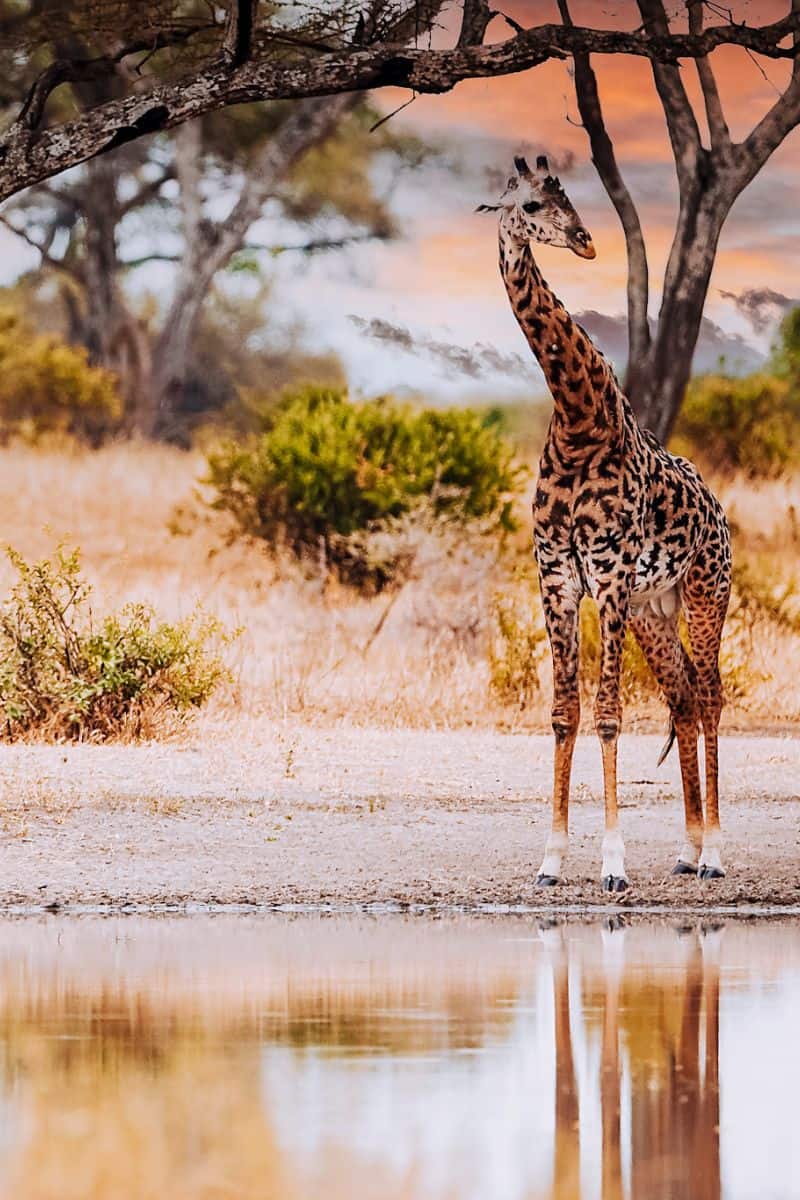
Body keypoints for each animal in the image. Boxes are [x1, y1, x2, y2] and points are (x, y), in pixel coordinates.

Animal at [479, 155, 731, 891]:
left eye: (569, 197)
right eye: (531, 204)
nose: (586, 241)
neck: (577, 420)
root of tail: (720, 511)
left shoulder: (610, 573)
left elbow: (610, 714)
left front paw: (614, 864)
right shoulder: (557, 573)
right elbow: (565, 713)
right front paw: (552, 858)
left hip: (705, 595)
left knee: (711, 696)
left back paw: (714, 855)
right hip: (655, 609)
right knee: (682, 696)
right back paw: (687, 848)